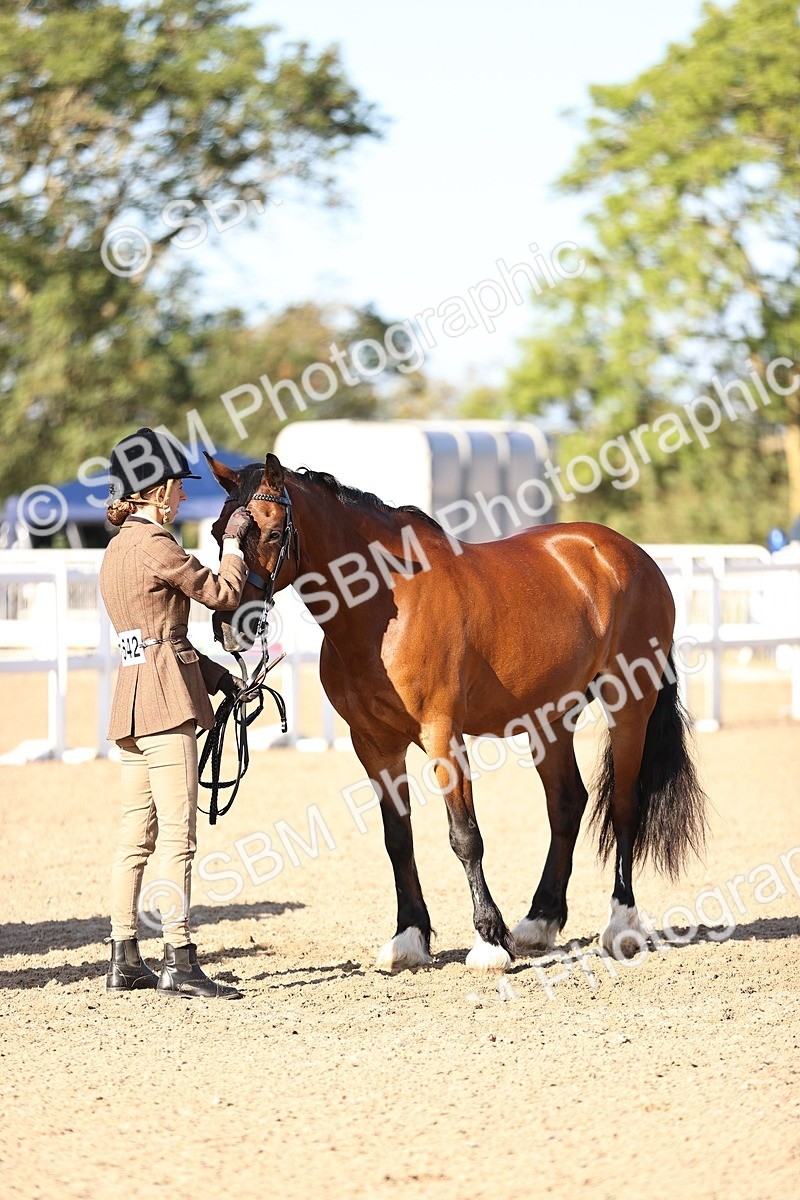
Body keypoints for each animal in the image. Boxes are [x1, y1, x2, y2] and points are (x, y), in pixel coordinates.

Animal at [206, 450, 708, 971]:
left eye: (272, 533)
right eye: (218, 530)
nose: (228, 626)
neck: (387, 603)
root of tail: (629, 554)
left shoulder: (442, 734)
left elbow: (465, 836)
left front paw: (489, 941)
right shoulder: (374, 744)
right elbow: (397, 839)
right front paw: (408, 937)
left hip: (629, 704)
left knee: (625, 806)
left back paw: (621, 926)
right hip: (549, 717)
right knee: (567, 803)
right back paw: (539, 921)